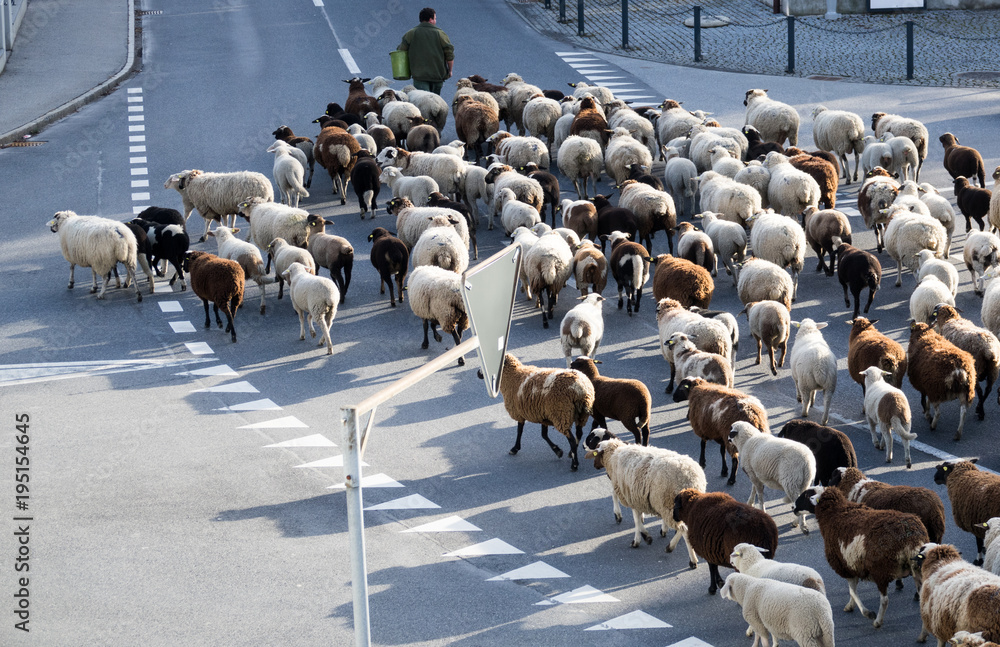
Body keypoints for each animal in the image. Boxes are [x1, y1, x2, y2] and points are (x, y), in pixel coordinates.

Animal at [792, 486, 928, 629]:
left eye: (805, 496)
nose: (793, 507)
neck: (834, 513)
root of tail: (910, 537)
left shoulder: (844, 565)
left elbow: (852, 591)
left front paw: (867, 613)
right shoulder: (852, 564)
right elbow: (852, 590)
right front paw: (850, 606)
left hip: (880, 570)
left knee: (885, 600)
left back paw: (877, 621)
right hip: (916, 569)